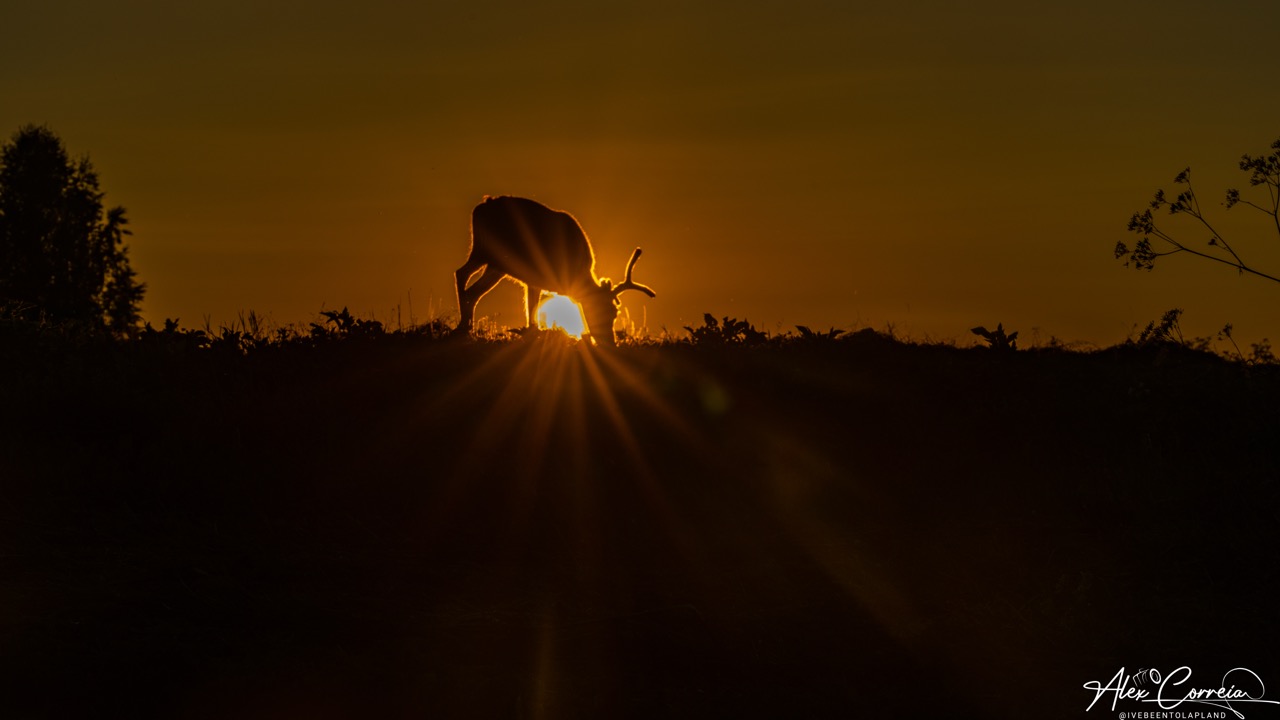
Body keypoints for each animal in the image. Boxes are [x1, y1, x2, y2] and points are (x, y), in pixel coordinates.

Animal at [454, 196, 656, 346]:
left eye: (614, 313)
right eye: (607, 312)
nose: (610, 343)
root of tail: (482, 205)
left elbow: (532, 313)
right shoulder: (534, 276)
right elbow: (531, 312)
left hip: (496, 264)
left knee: (472, 289)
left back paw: (466, 327)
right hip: (484, 250)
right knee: (462, 274)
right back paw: (463, 327)